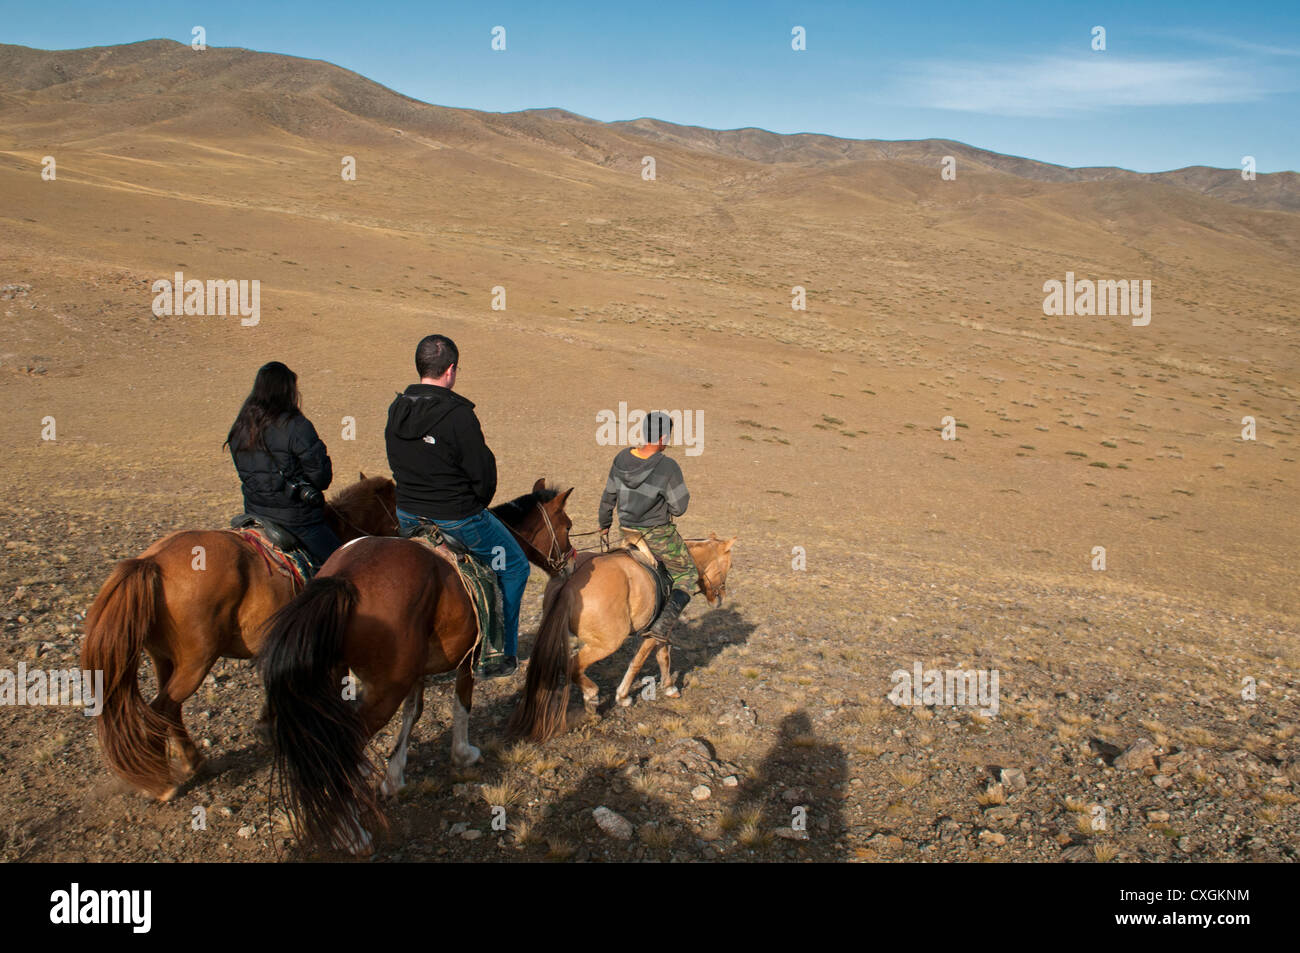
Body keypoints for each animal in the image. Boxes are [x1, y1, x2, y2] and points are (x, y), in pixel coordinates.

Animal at [82, 473, 395, 800]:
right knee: (160, 710)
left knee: (170, 710)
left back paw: (193, 762)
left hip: (163, 658)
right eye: (394, 507)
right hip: (195, 662)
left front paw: (266, 724)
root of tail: (151, 562)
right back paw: (166, 782)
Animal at [258, 478, 574, 852]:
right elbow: (462, 702)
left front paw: (394, 775)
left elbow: (414, 712)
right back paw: (352, 833)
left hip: (341, 677)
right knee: (342, 747)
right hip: (384, 690)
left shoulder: (416, 671)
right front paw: (463, 754)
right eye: (567, 525)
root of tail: (342, 579)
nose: (569, 565)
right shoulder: (467, 657)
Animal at [506, 530, 738, 738]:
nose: (720, 598)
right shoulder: (654, 632)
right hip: (608, 643)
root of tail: (570, 582)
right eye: (728, 566)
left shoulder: (660, 632)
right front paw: (623, 696)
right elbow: (639, 662)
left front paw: (669, 687)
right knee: (572, 665)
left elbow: (663, 656)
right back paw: (591, 697)